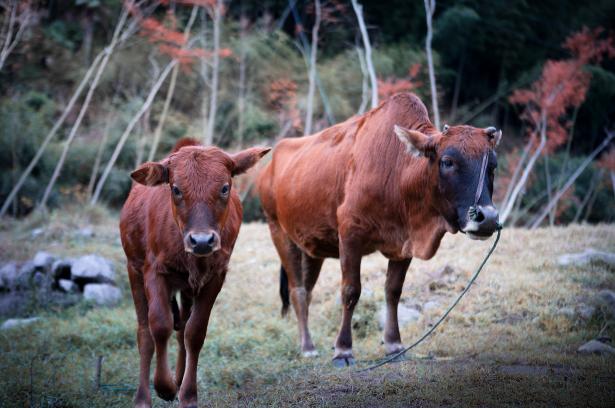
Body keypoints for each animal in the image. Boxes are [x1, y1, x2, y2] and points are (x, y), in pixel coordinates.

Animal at [120, 139, 270, 406]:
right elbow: (159, 325)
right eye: (176, 189)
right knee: (144, 333)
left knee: (181, 331)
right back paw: (143, 397)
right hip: (133, 269)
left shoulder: (215, 276)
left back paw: (179, 379)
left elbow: (195, 332)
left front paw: (187, 394)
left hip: (187, 288)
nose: (201, 241)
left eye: (225, 188)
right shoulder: (153, 271)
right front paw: (164, 386)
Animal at [258, 92, 502, 366]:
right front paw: (343, 350)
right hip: (278, 232)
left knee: (308, 291)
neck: (397, 172)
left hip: (311, 247)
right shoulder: (350, 235)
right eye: (447, 161)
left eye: (493, 165)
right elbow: (351, 291)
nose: (487, 217)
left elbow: (393, 291)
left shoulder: (404, 244)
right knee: (297, 291)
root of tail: (270, 165)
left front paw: (394, 344)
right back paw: (307, 346)